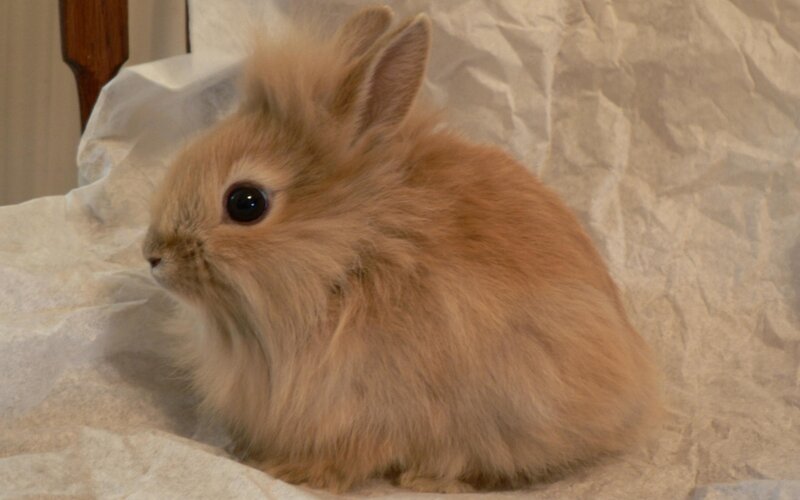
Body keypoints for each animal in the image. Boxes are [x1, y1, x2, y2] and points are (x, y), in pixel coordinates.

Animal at [142, 5, 661, 494]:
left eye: (245, 203)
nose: (152, 255)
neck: (346, 256)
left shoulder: (364, 406)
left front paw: (294, 471)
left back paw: (432, 480)